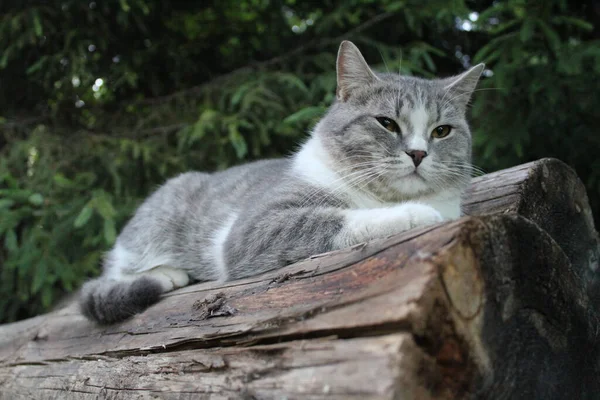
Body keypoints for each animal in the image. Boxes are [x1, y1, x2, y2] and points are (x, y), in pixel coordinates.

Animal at [79, 40, 486, 324]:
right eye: (386, 123)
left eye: (442, 131)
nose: (418, 153)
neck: (379, 194)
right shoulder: (254, 229)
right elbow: (334, 219)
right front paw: (416, 214)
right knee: (115, 277)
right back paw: (168, 274)